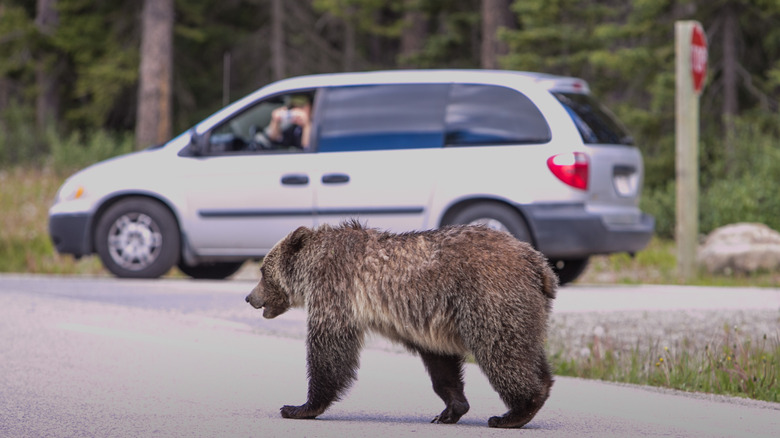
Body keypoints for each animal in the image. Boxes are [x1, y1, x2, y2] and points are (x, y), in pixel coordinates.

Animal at [247, 222, 556, 428]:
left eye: (262, 271)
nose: (250, 297)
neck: (312, 269)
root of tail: (538, 261)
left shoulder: (335, 290)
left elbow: (329, 351)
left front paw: (299, 407)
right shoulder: (426, 323)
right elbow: (441, 364)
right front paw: (449, 410)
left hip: (489, 296)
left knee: (502, 351)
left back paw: (512, 413)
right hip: (520, 308)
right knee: (525, 350)